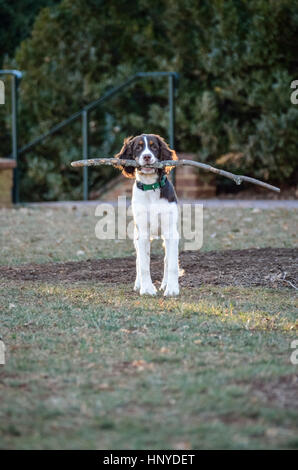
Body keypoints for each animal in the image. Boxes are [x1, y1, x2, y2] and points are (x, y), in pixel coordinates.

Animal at [114, 136, 179, 296]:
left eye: (154, 146)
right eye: (138, 147)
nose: (147, 157)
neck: (151, 188)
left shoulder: (171, 232)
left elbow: (172, 263)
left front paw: (172, 289)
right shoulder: (142, 232)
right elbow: (143, 263)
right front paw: (147, 289)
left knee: (167, 259)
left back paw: (165, 283)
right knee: (139, 259)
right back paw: (139, 284)